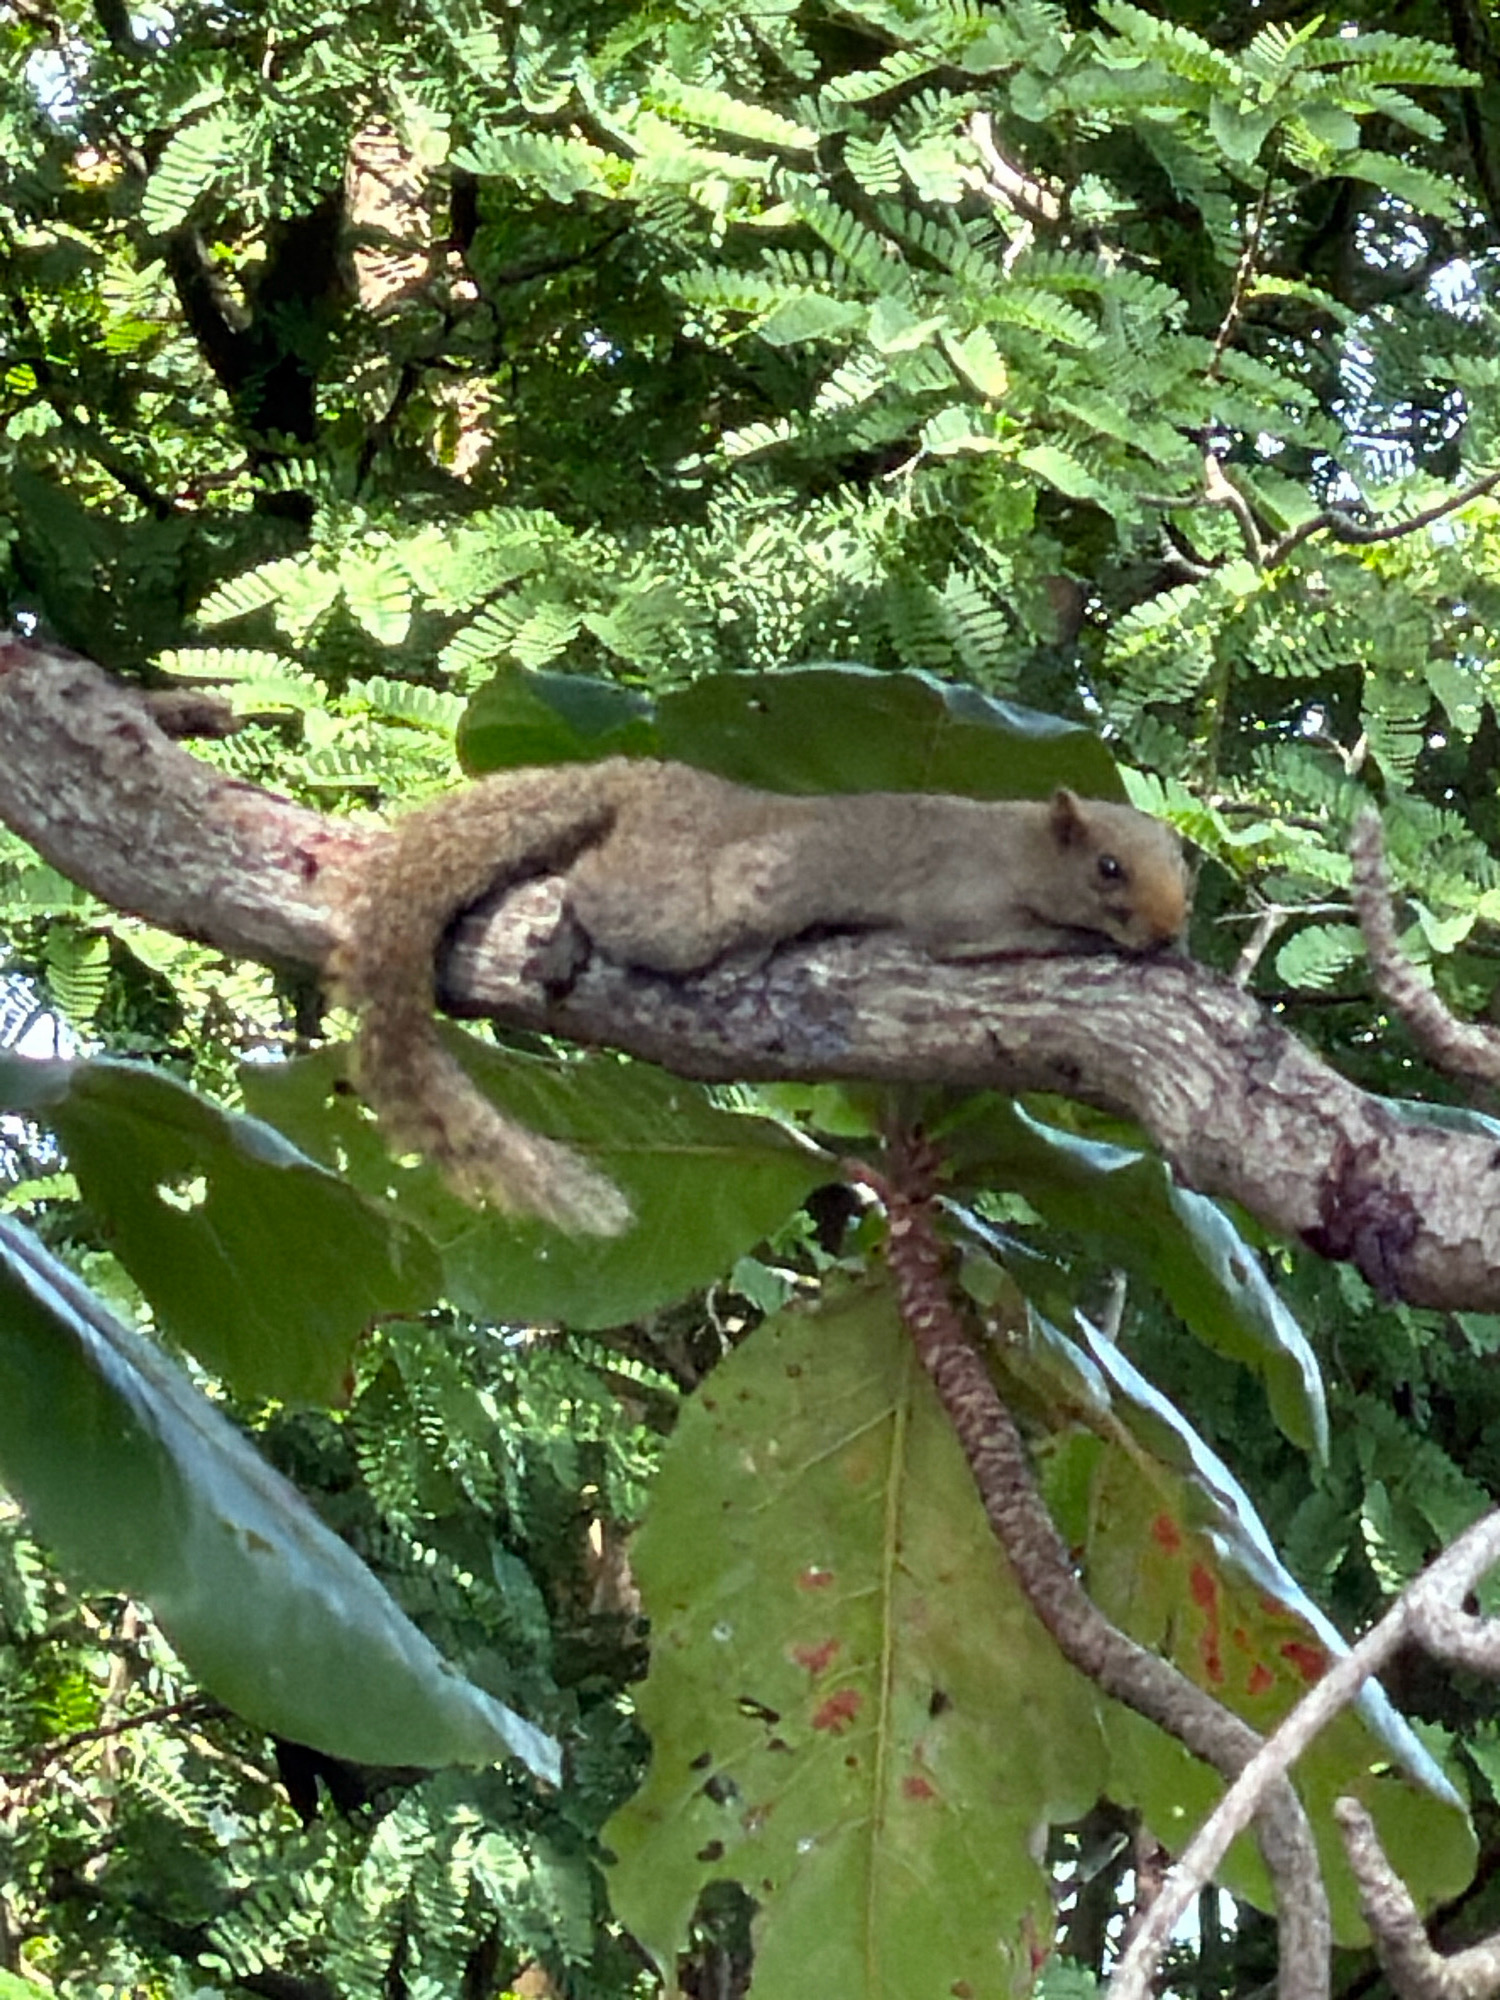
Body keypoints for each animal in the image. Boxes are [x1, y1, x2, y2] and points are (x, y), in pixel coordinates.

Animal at [326, 760, 1188, 1235]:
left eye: (1186, 868)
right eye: (1109, 868)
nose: (1170, 925)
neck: (1023, 849)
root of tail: (649, 779)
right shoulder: (963, 906)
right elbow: (1005, 938)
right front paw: (1096, 943)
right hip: (681, 909)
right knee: (588, 881)